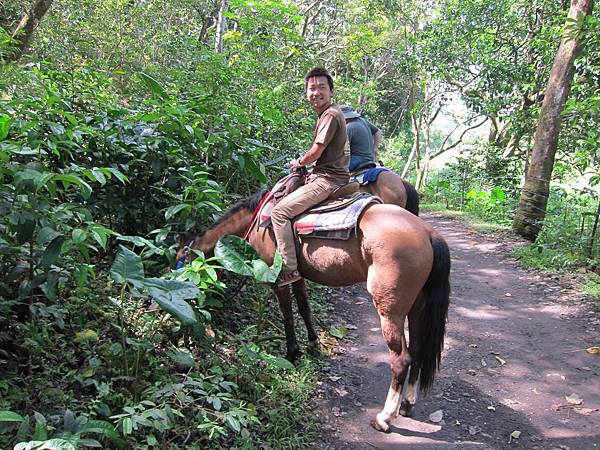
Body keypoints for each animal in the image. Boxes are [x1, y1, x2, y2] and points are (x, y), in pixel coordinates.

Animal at [178, 192, 450, 430]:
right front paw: (313, 344)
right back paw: (407, 404)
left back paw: (385, 417)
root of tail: (428, 234)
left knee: (401, 359)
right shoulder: (296, 275)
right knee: (417, 349)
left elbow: (287, 315)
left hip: (390, 309)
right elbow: (304, 307)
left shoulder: (278, 278)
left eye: (180, 260)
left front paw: (292, 353)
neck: (258, 222)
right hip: (417, 305)